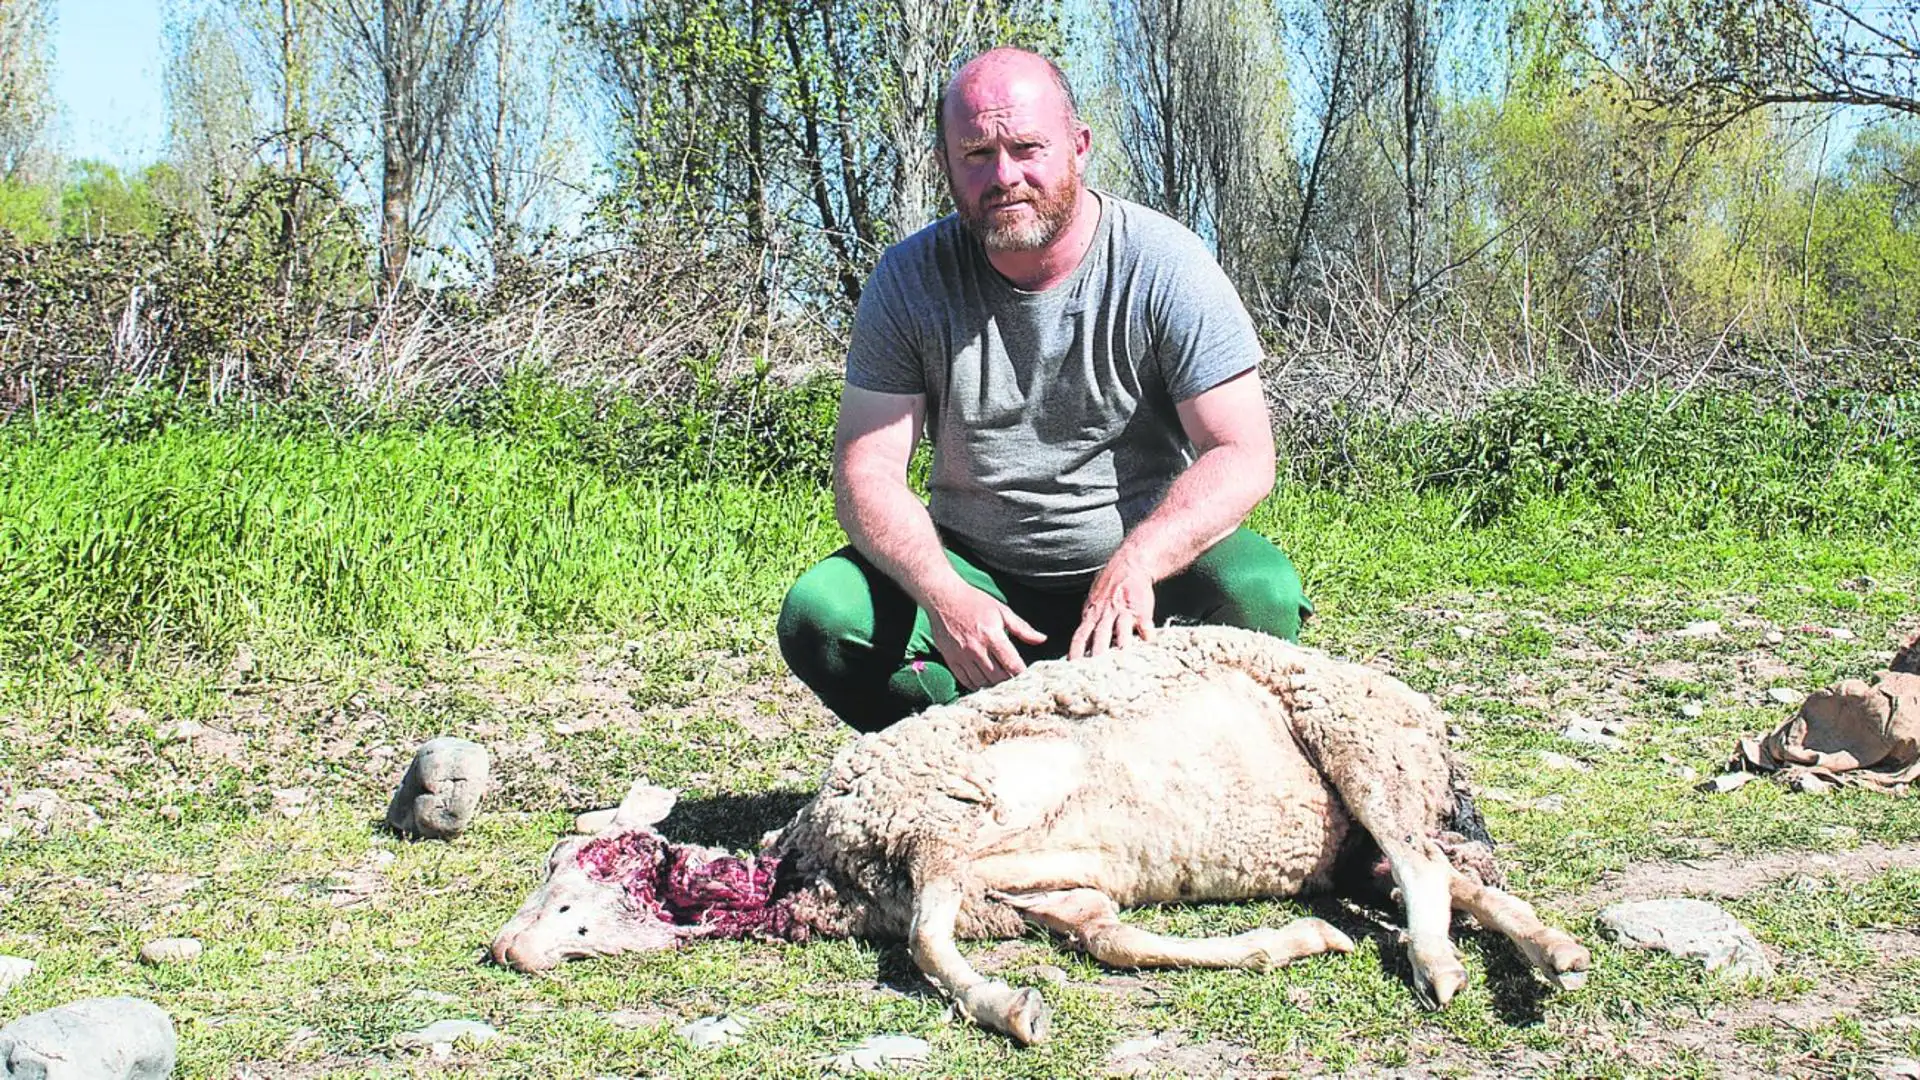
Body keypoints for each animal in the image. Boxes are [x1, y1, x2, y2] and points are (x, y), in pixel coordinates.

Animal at [495, 626, 1589, 1037]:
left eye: (588, 863)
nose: (506, 949)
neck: (820, 867)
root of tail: (1423, 716)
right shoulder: (1039, 892)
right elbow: (1115, 942)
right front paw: (1294, 941)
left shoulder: (951, 819)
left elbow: (928, 949)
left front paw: (1005, 1009)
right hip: (1366, 819)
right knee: (1459, 875)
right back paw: (1552, 954)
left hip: (1362, 745)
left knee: (1425, 867)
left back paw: (1441, 966)